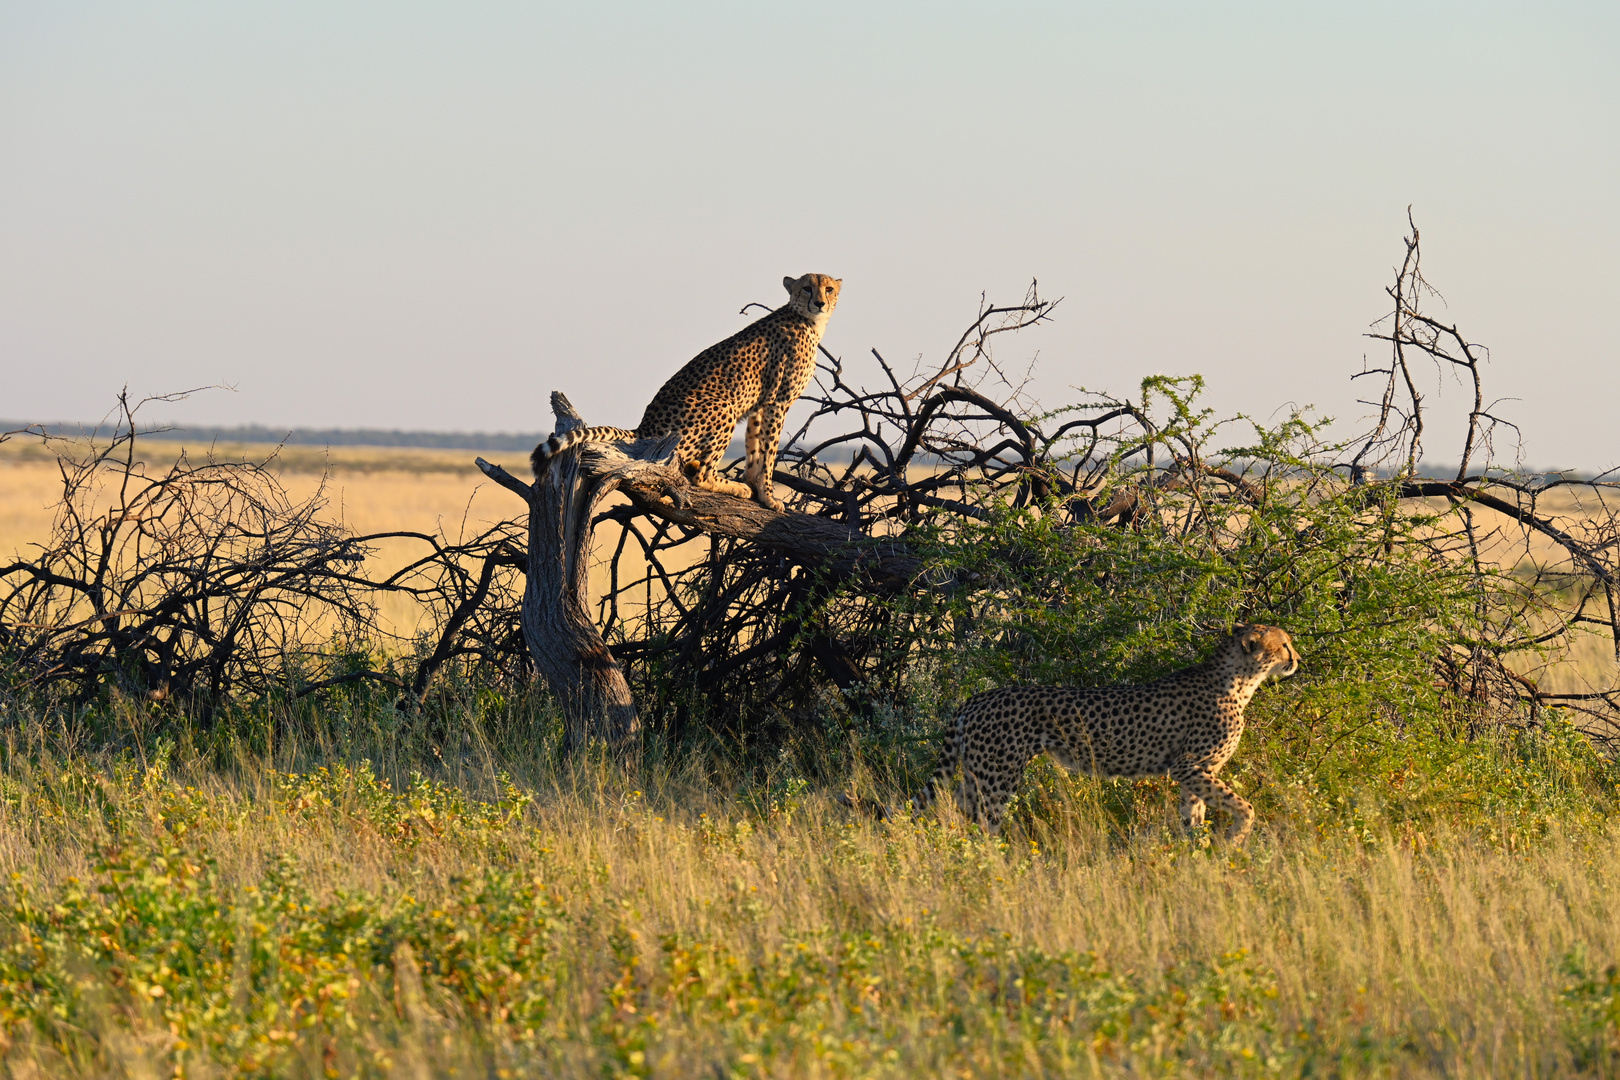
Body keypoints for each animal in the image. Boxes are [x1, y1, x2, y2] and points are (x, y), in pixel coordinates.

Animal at [531, 272, 842, 514]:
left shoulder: (761, 406)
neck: (807, 320)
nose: (819, 302)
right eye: (807, 287)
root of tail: (643, 427)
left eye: (828, 288)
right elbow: (768, 451)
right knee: (701, 475)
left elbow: (755, 448)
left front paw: (756, 484)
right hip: (724, 406)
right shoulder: (777, 402)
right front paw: (767, 496)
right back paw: (730, 486)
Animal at [868, 625, 1296, 841]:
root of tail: (976, 697)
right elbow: (1244, 806)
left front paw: (1198, 851)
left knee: (959, 808)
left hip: (978, 773)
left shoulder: (1195, 773)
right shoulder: (1189, 767)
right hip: (998, 777)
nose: (1297, 659)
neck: (1240, 679)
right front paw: (1235, 840)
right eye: (1284, 645)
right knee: (985, 824)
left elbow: (1194, 813)